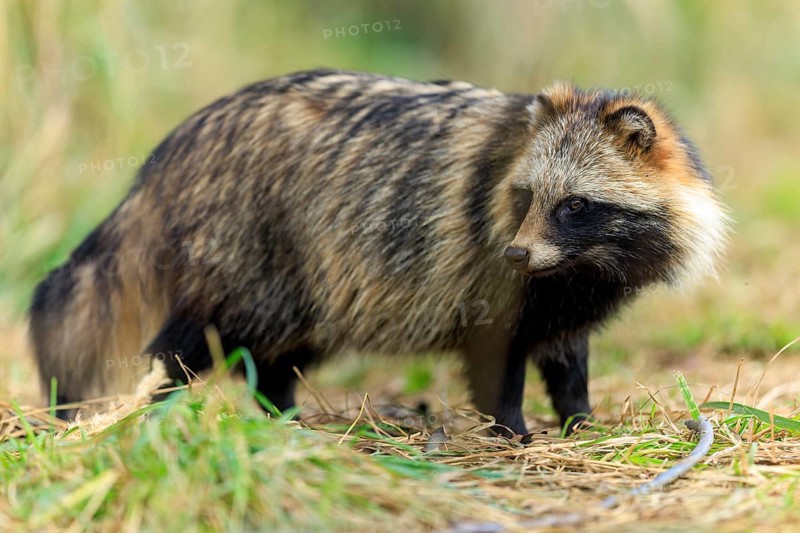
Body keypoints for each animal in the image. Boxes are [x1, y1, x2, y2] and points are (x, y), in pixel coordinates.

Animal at [29, 70, 729, 435]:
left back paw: (280, 414)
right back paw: (153, 403)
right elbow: (495, 358)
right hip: (250, 251)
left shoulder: (563, 286)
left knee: (276, 352)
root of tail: (177, 146)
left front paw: (577, 419)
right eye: (528, 195)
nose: (516, 255)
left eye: (574, 206)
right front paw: (512, 430)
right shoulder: (482, 269)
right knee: (196, 340)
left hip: (306, 282)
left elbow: (565, 354)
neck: (584, 266)